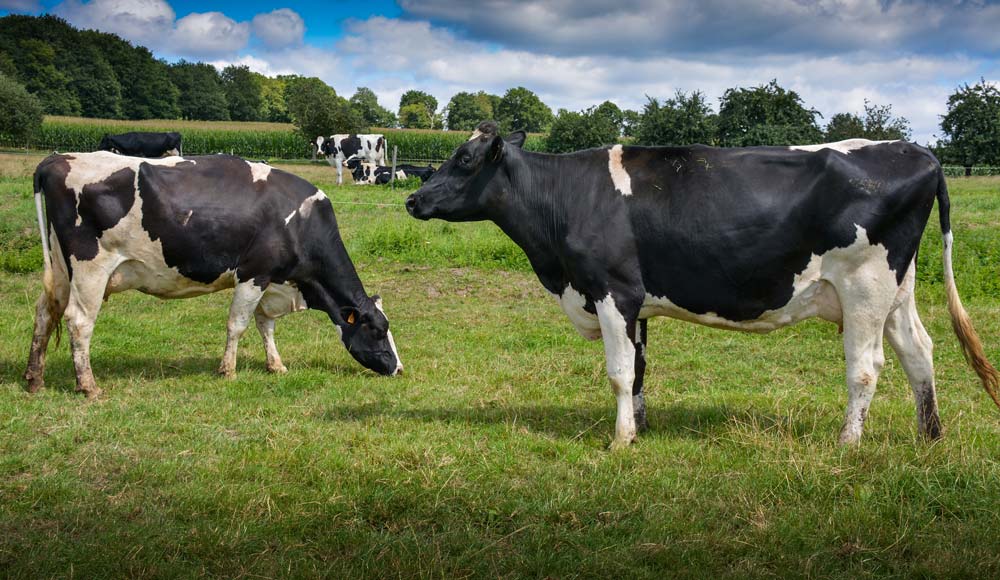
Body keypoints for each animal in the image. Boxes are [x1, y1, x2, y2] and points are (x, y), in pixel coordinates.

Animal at [24, 151, 398, 398]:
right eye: (378, 331)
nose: (398, 368)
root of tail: (57, 158)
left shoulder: (271, 280)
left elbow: (265, 326)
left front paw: (275, 365)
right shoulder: (253, 274)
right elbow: (238, 325)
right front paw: (228, 371)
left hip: (61, 267)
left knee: (44, 313)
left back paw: (34, 379)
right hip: (90, 267)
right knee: (78, 321)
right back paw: (88, 386)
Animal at [406, 121, 1000, 448]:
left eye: (464, 158)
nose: (412, 199)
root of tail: (917, 150)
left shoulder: (612, 291)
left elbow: (618, 373)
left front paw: (619, 441)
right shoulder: (637, 304)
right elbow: (640, 372)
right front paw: (639, 430)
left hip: (865, 286)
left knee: (867, 366)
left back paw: (848, 443)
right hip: (896, 290)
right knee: (918, 352)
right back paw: (929, 435)